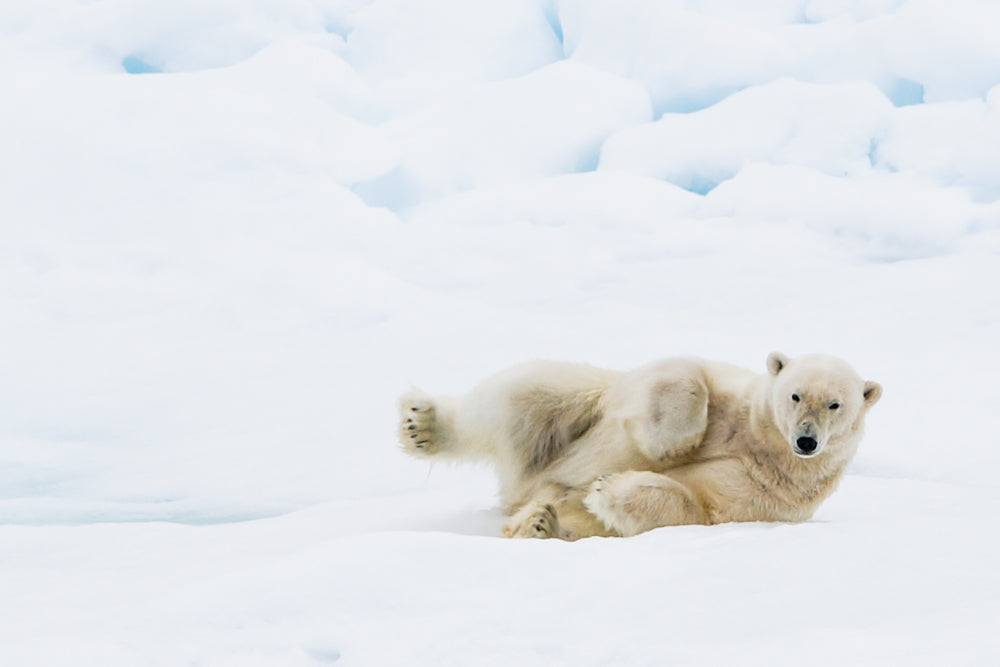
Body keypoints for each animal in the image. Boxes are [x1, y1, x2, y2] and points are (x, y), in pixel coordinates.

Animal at [397, 352, 882, 540]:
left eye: (835, 404)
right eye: (795, 395)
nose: (806, 440)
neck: (761, 441)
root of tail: (524, 488)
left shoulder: (773, 491)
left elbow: (696, 504)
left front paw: (606, 489)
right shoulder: (732, 394)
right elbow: (684, 375)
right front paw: (674, 443)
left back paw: (541, 522)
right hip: (575, 412)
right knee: (522, 397)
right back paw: (424, 425)